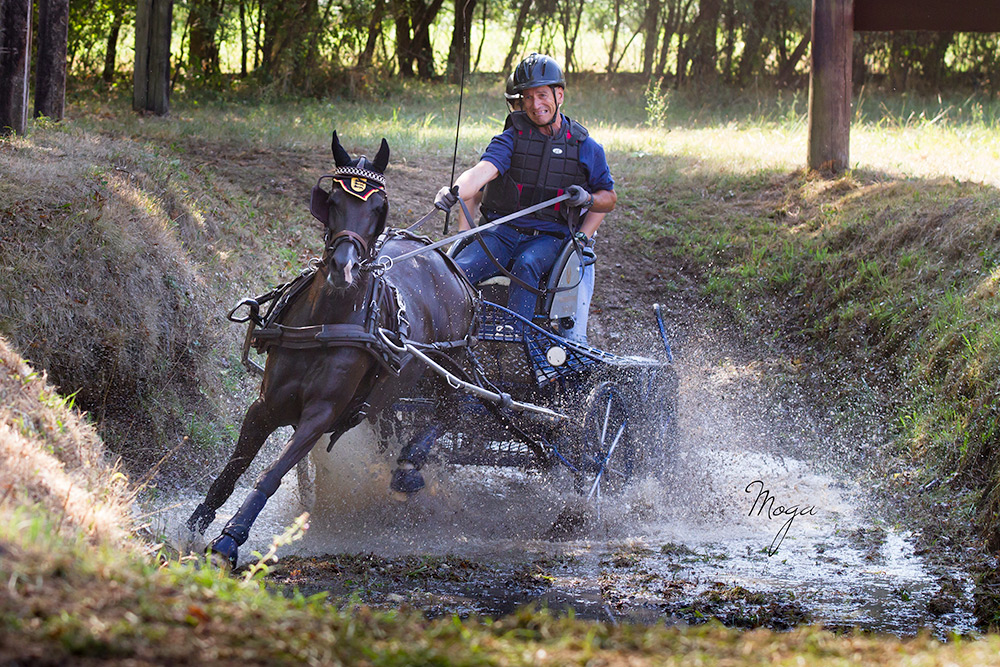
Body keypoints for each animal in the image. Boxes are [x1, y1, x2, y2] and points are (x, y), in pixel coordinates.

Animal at [190, 132, 480, 568]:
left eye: (378, 207)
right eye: (333, 200)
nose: (343, 268)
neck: (325, 322)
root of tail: (441, 256)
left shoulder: (320, 414)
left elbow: (269, 474)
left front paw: (229, 540)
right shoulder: (265, 405)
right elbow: (233, 469)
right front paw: (195, 524)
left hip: (447, 365)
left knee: (453, 410)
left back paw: (409, 466)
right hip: (390, 393)